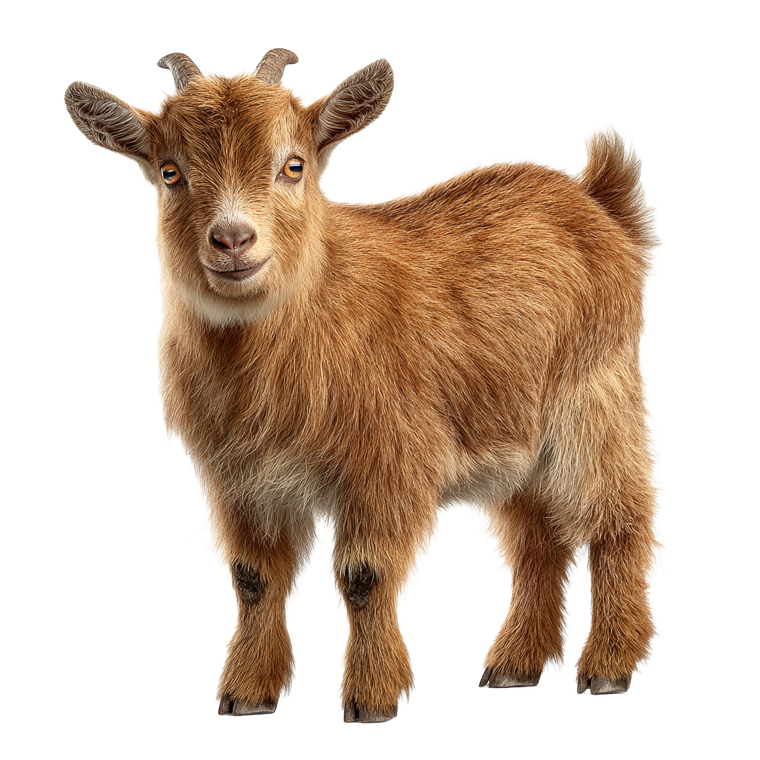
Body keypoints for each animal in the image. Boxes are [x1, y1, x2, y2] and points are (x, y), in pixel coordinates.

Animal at [63, 47, 664, 721]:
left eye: (293, 165)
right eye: (170, 172)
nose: (233, 239)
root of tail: (597, 202)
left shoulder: (383, 462)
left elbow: (364, 576)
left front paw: (373, 695)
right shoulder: (239, 477)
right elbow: (253, 578)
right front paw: (247, 692)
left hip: (595, 397)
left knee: (619, 520)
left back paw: (609, 664)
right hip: (517, 438)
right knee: (538, 539)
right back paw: (514, 663)